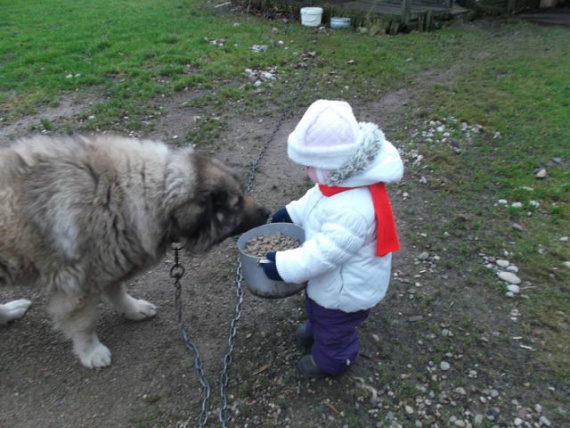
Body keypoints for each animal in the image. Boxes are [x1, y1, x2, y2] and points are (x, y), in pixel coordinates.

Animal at [0, 135, 268, 368]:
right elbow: (84, 324)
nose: (266, 212)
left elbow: (118, 291)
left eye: (242, 194)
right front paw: (91, 352)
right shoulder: (79, 285)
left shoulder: (109, 261)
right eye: (236, 203)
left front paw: (133, 309)